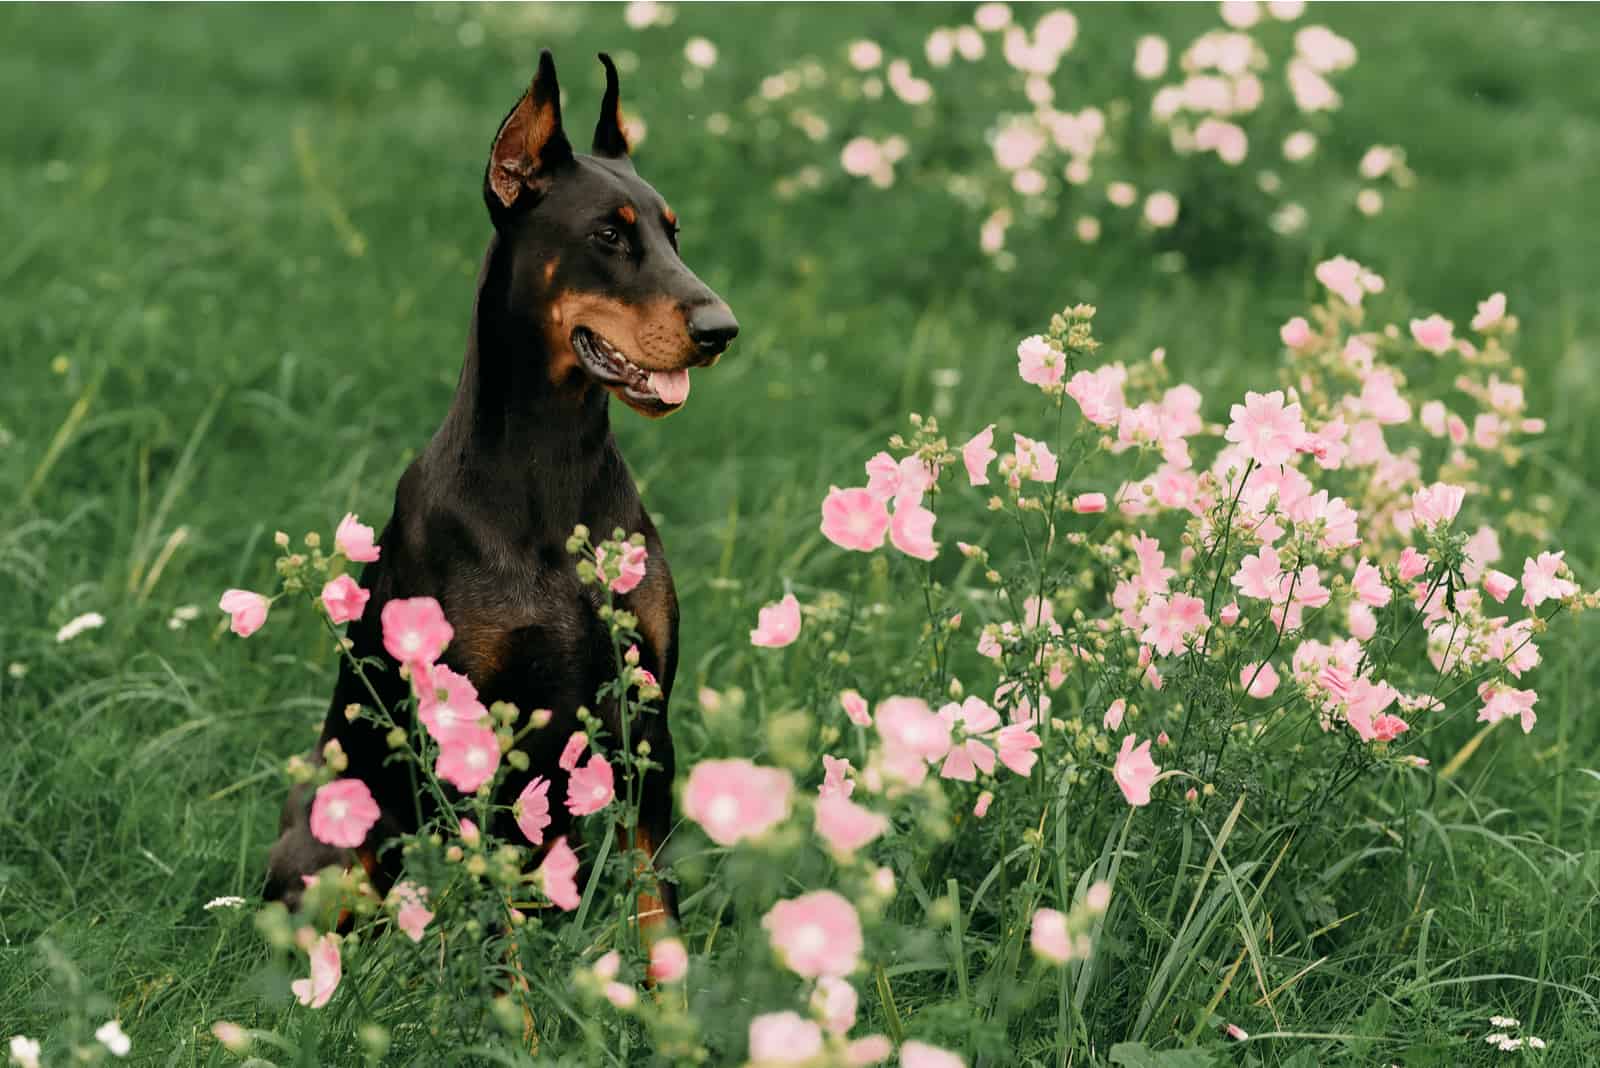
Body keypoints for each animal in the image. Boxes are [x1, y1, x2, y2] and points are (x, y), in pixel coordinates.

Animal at [264, 51, 736, 933]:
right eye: (608, 234)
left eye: (674, 232)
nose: (722, 329)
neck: (550, 466)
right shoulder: (474, 737)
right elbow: (503, 933)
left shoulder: (646, 717)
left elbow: (657, 907)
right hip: (330, 844)